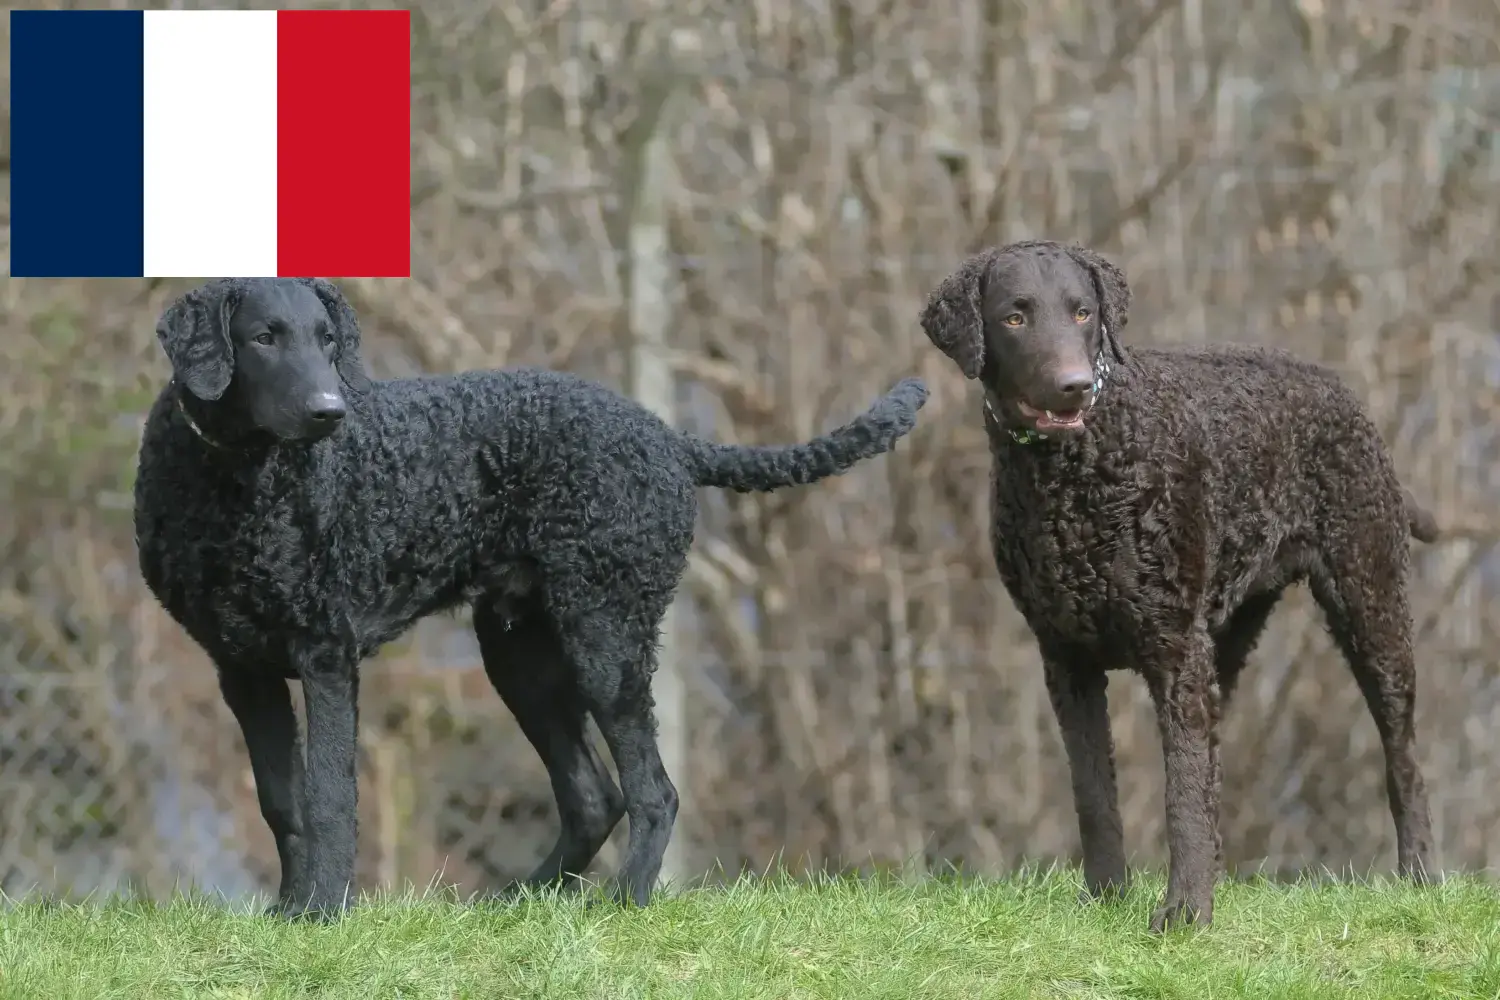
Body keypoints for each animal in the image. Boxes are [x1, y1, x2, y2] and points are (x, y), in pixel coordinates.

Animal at [135, 277, 924, 917]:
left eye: (328, 341)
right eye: (264, 338)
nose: (331, 411)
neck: (239, 484)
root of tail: (669, 438)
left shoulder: (327, 652)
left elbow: (329, 795)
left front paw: (325, 914)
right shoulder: (242, 668)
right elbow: (282, 802)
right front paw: (287, 914)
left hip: (607, 638)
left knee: (653, 791)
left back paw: (624, 903)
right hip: (522, 656)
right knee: (593, 797)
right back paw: (520, 902)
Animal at [918, 239, 1434, 929]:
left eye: (1083, 313)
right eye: (1015, 317)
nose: (1073, 387)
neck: (1073, 478)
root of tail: (1332, 383)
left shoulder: (1173, 654)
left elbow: (1181, 793)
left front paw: (1185, 913)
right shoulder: (1067, 660)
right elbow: (1095, 792)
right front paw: (1105, 898)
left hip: (1370, 601)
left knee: (1402, 755)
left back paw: (1420, 875)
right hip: (1226, 638)